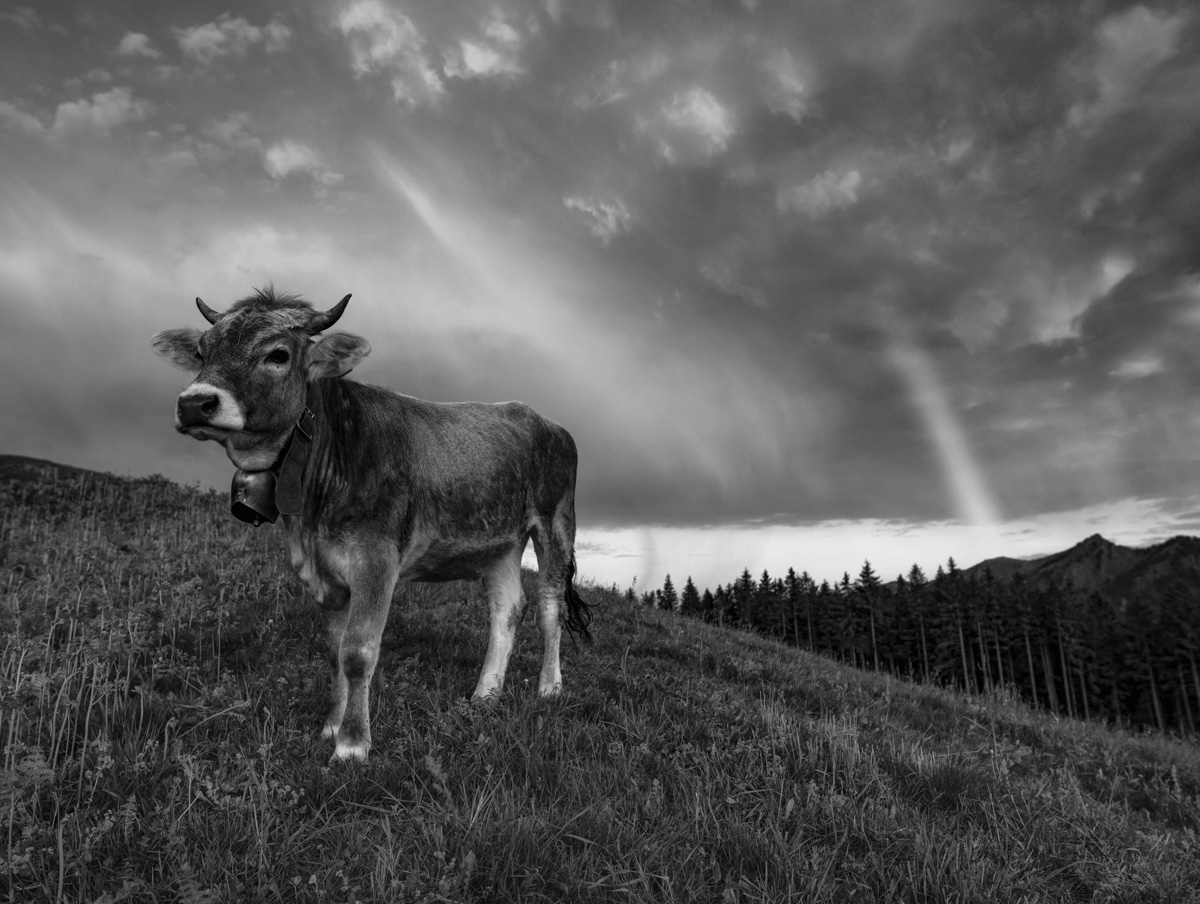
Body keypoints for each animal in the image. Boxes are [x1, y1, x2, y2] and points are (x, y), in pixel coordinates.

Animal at [152, 288, 592, 761]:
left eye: (278, 354)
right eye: (202, 352)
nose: (194, 402)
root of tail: (542, 419)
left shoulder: (376, 559)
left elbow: (358, 651)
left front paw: (351, 745)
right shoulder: (323, 570)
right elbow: (335, 651)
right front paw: (330, 725)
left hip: (556, 523)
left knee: (550, 607)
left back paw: (549, 689)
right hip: (498, 543)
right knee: (507, 609)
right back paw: (485, 696)